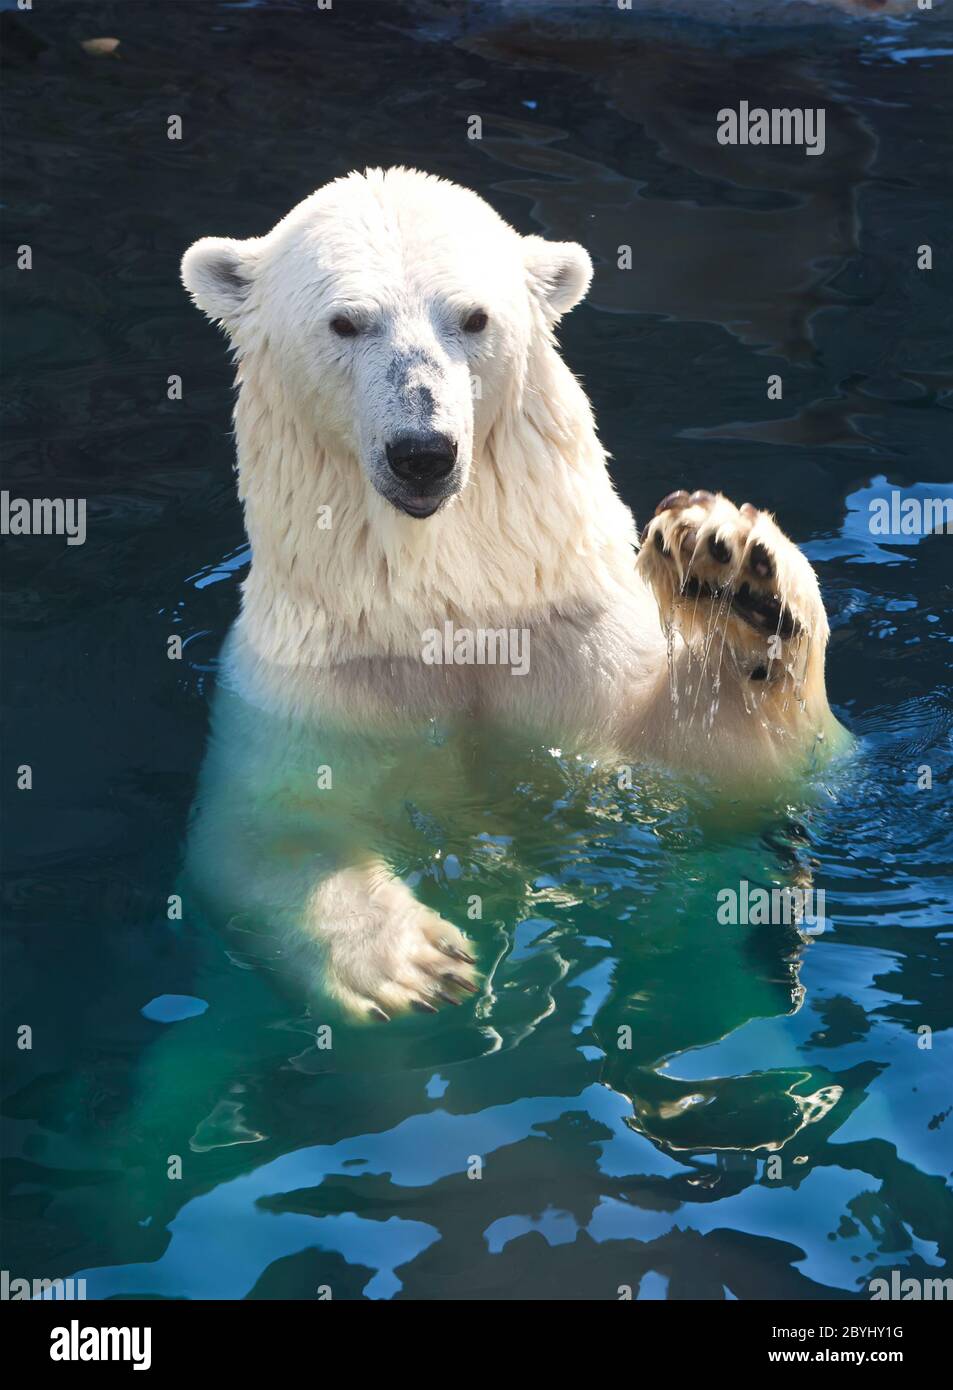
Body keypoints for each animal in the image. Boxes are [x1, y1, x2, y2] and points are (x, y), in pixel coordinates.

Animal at [180, 166, 847, 1019]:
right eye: (344, 322)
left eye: (472, 317)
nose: (422, 451)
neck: (459, 608)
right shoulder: (312, 686)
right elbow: (265, 832)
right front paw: (408, 962)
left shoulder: (575, 639)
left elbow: (727, 779)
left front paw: (731, 576)